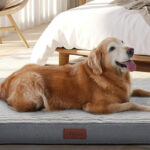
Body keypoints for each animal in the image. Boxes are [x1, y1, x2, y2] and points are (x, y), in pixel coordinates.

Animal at [0, 37, 150, 113]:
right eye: (112, 48)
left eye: (122, 42)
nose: (131, 50)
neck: (111, 75)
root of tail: (6, 81)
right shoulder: (95, 107)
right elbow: (131, 104)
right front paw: (146, 108)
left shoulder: (128, 90)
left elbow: (140, 90)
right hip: (34, 82)